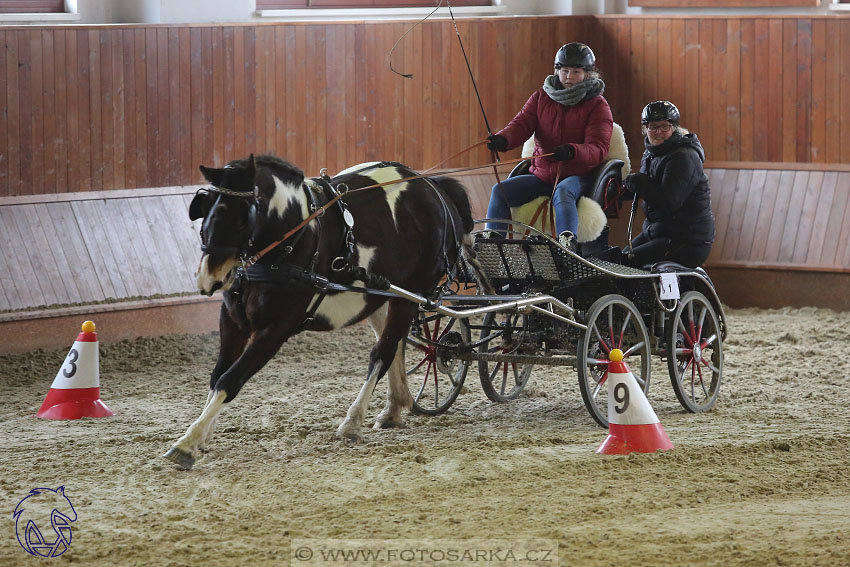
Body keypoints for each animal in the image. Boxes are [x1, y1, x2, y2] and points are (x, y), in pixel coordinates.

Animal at [162, 154, 486, 470]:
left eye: (243, 219)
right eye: (205, 210)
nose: (209, 279)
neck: (291, 242)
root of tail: (432, 186)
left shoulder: (274, 330)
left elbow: (230, 380)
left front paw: (186, 444)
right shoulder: (231, 321)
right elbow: (217, 377)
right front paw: (202, 435)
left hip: (411, 292)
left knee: (382, 353)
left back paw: (352, 422)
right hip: (382, 295)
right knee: (393, 346)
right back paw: (393, 408)